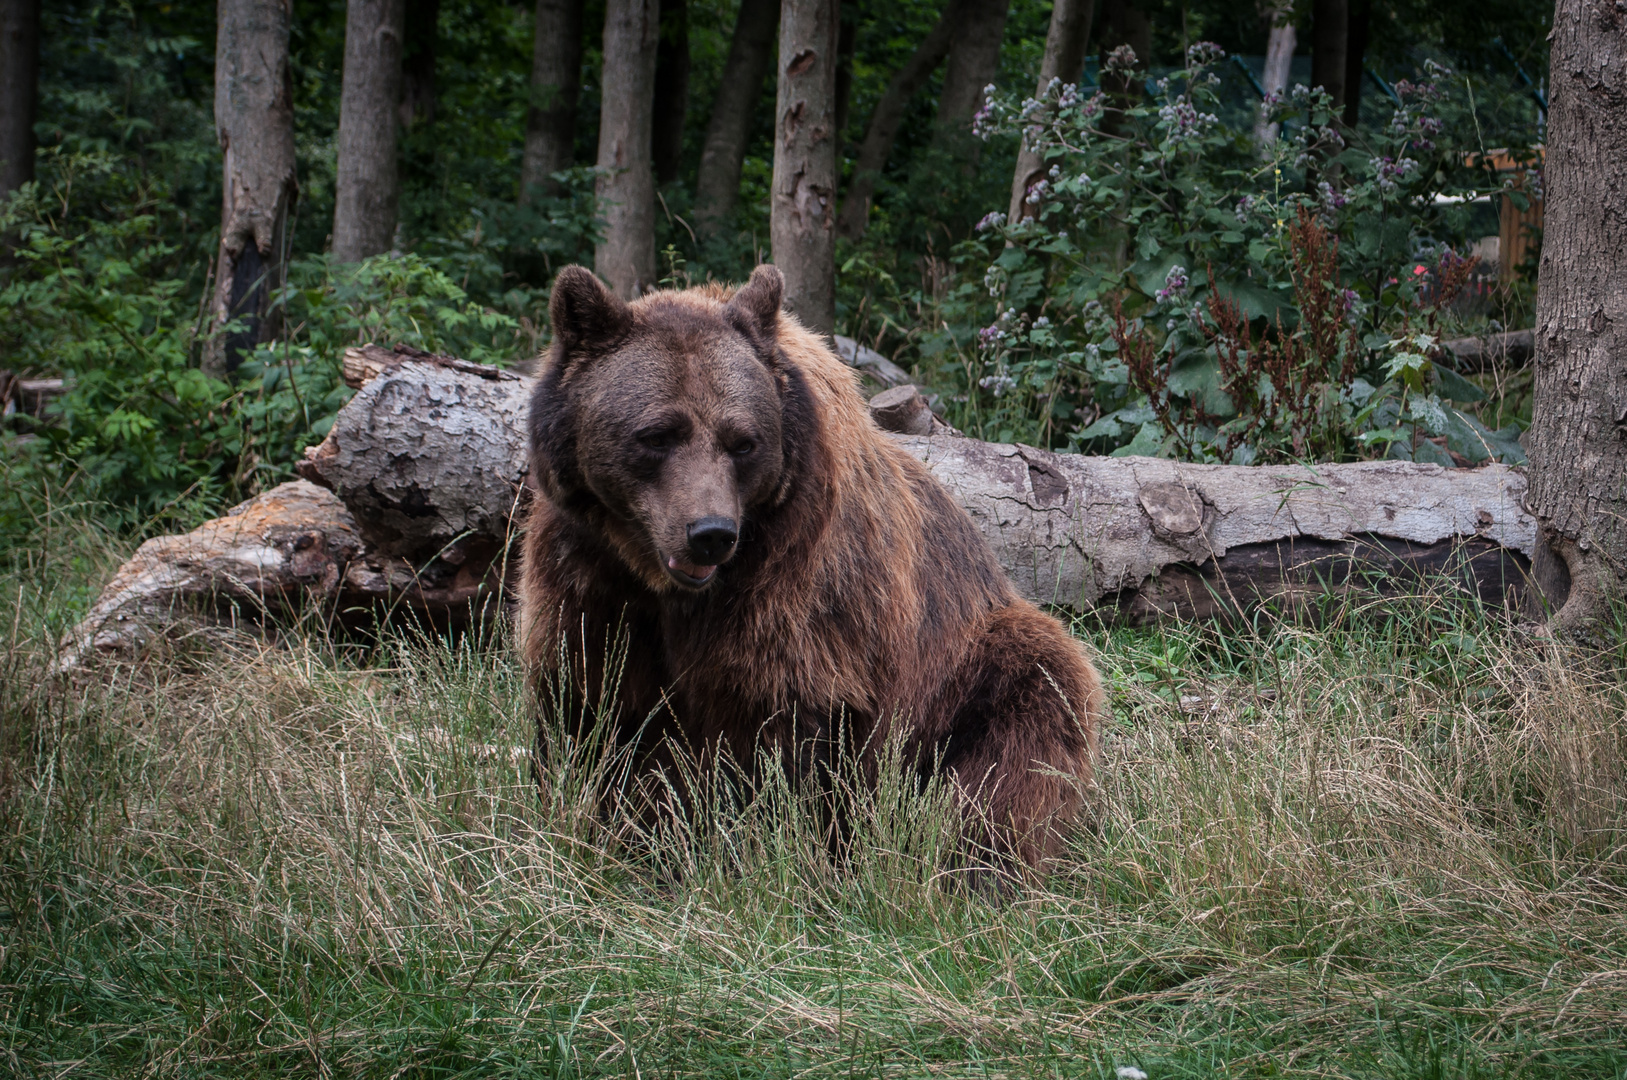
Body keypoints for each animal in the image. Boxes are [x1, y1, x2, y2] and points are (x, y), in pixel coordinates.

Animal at [520, 263, 1106, 871]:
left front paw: (778, 844)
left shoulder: (801, 595)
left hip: (966, 665)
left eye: (742, 442)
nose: (710, 534)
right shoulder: (590, 578)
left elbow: (787, 730)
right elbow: (591, 701)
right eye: (657, 434)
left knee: (1028, 723)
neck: (667, 588)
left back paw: (978, 859)